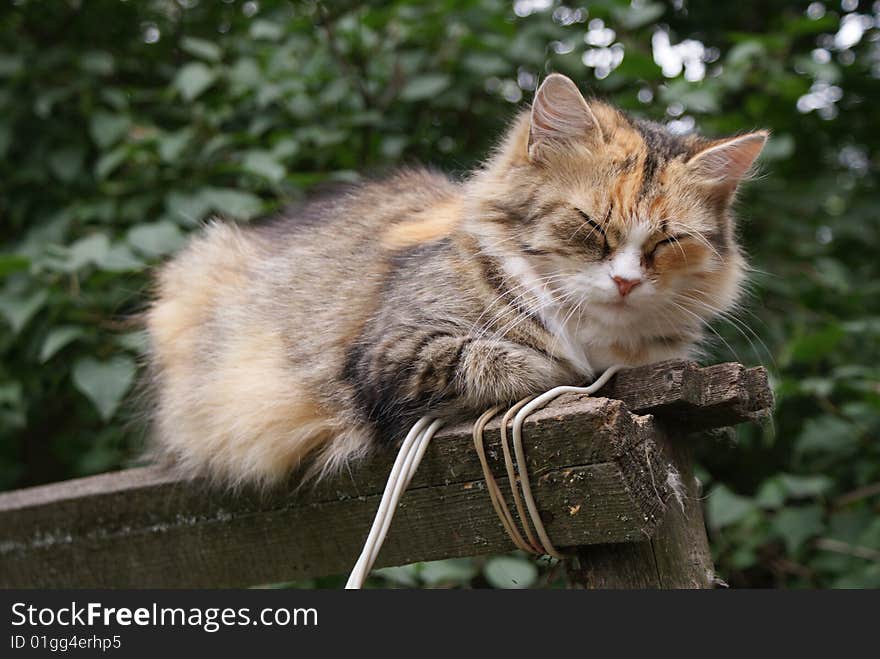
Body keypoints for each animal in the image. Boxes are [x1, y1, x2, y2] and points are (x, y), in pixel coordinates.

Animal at [144, 76, 764, 490]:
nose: (626, 282)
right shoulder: (393, 351)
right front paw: (566, 368)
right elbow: (505, 359)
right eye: (591, 226)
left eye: (666, 243)